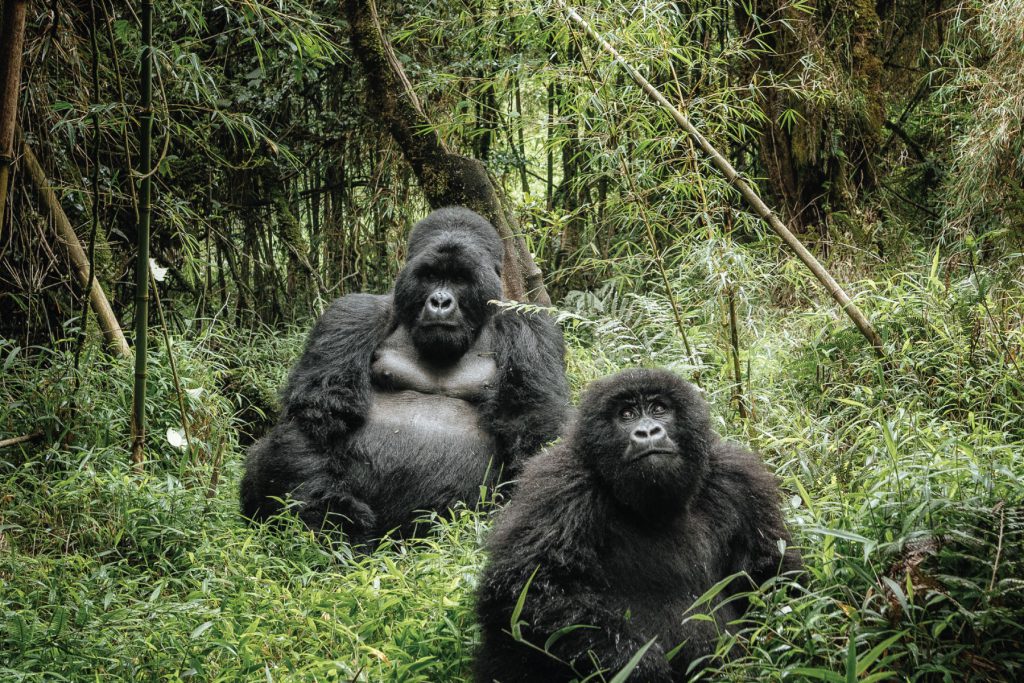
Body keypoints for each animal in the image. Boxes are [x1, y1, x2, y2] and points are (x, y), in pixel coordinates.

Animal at [243, 206, 573, 544]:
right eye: (430, 276)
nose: (440, 301)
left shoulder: (531, 327)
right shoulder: (351, 314)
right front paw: (331, 516)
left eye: (460, 279)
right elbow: (319, 414)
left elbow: (533, 425)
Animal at [475, 370, 802, 679]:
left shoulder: (740, 480)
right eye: (627, 414)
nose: (647, 431)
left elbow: (772, 575)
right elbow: (527, 586)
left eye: (659, 409)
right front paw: (635, 663)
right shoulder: (558, 485)